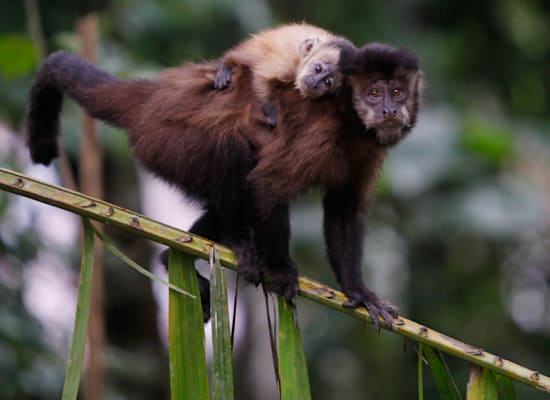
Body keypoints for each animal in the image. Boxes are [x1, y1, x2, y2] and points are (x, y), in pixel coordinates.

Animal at [216, 23, 350, 126]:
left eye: (327, 82)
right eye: (318, 69)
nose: (315, 83)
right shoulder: (288, 64)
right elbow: (261, 75)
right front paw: (269, 111)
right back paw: (228, 62)